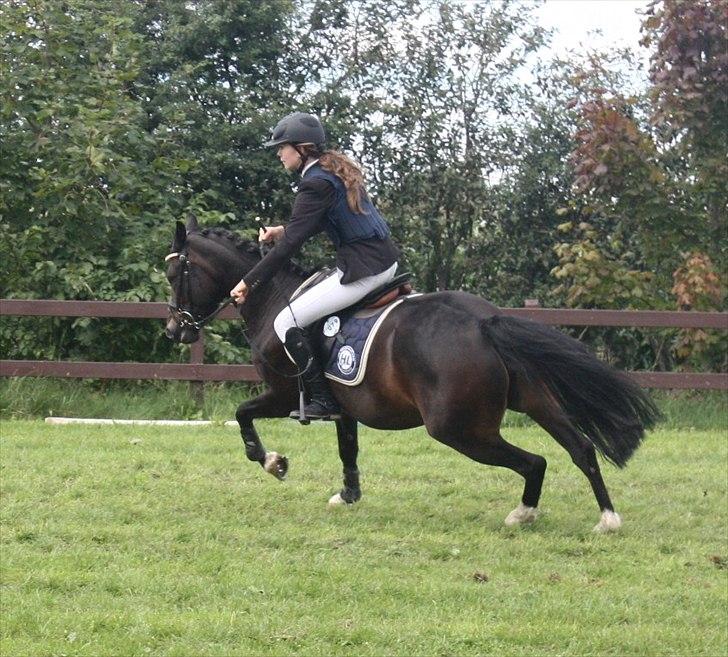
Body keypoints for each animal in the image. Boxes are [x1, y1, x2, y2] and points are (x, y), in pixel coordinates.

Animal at [164, 216, 660, 532]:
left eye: (174, 274)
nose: (174, 329)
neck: (273, 299)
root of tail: (484, 321)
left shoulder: (285, 394)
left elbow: (242, 414)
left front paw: (273, 462)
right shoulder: (343, 409)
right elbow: (348, 449)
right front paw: (347, 495)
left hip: (457, 428)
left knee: (534, 461)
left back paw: (523, 514)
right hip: (534, 399)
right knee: (582, 449)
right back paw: (607, 519)